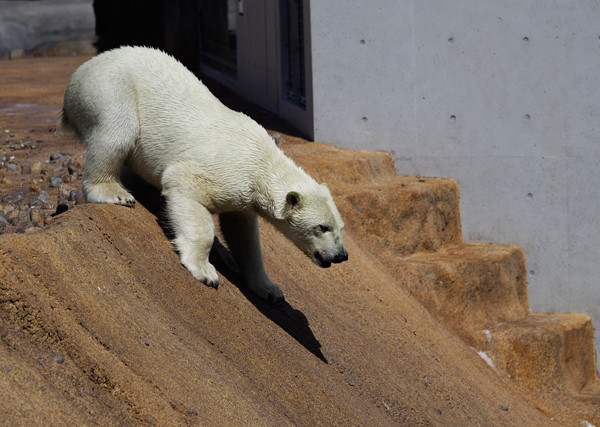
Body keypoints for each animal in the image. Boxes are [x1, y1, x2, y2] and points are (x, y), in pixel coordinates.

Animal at [61, 46, 346, 300]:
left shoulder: (244, 198)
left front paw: (270, 289)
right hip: (109, 89)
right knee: (118, 132)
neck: (262, 161)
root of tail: (82, 70)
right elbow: (185, 187)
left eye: (340, 226)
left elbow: (244, 235)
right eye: (322, 227)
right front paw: (205, 270)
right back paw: (115, 193)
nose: (341, 256)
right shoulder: (224, 172)